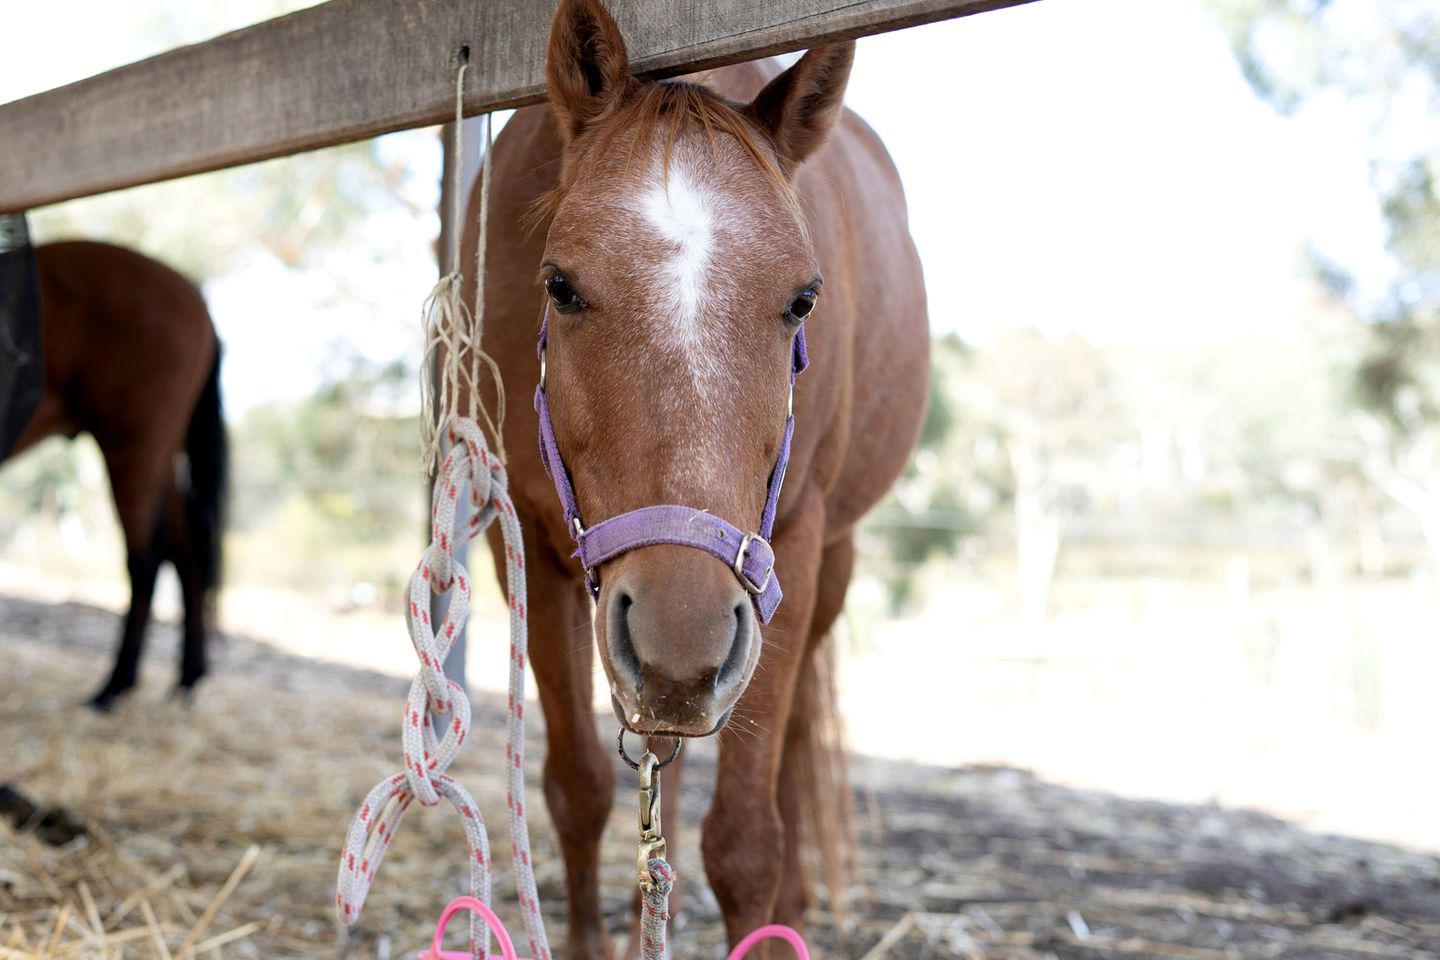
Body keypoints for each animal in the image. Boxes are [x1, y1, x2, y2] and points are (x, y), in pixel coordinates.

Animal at [1, 240, 226, 711]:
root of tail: (195, 297)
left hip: (133, 449)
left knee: (145, 559)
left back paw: (114, 685)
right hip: (161, 455)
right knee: (185, 553)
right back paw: (187, 677)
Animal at [466, 0, 927, 955]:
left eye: (803, 300)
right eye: (559, 286)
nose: (683, 642)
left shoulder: (788, 550)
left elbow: (747, 841)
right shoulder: (531, 540)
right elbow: (580, 791)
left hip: (828, 569)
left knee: (792, 747)